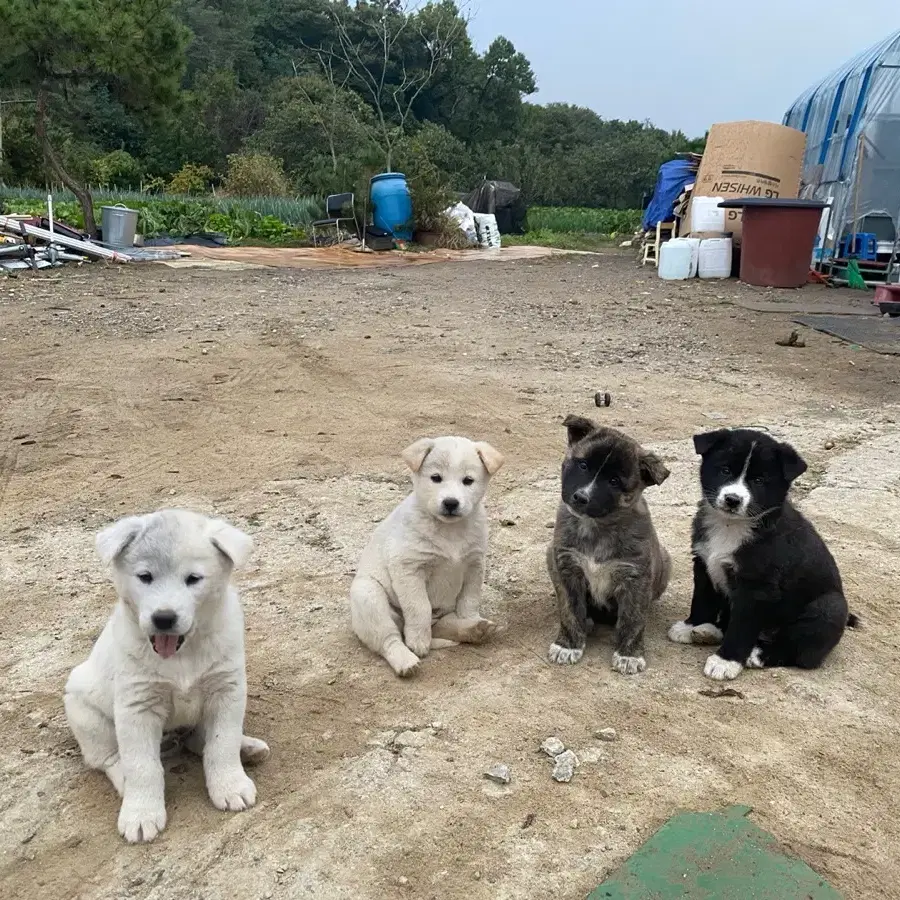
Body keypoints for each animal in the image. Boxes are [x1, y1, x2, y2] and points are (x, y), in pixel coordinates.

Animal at [63, 510, 268, 848]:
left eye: (193, 579)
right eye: (145, 577)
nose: (163, 618)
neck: (182, 655)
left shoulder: (226, 691)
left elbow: (220, 744)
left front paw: (229, 784)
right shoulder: (136, 706)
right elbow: (142, 765)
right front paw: (141, 813)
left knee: (200, 741)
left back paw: (247, 748)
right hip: (84, 712)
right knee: (108, 758)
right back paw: (124, 783)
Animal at [350, 434, 506, 676]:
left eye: (468, 480)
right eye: (436, 478)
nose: (450, 502)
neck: (449, 530)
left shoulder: (474, 565)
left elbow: (469, 600)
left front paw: (471, 619)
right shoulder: (409, 568)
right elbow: (419, 606)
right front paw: (418, 641)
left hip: (442, 611)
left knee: (444, 626)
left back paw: (474, 628)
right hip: (368, 596)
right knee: (389, 637)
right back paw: (406, 659)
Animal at [544, 414, 672, 676]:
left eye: (614, 481)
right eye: (583, 466)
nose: (581, 497)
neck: (596, 527)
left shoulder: (636, 576)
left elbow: (633, 619)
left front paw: (629, 654)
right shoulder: (566, 566)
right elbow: (570, 610)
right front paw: (568, 645)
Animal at [672, 432, 856, 680]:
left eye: (759, 481)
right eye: (725, 470)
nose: (732, 499)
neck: (731, 526)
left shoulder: (756, 587)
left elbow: (741, 626)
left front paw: (726, 661)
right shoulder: (704, 564)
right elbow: (702, 600)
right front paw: (691, 625)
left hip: (830, 607)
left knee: (801, 652)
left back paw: (758, 654)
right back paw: (708, 630)